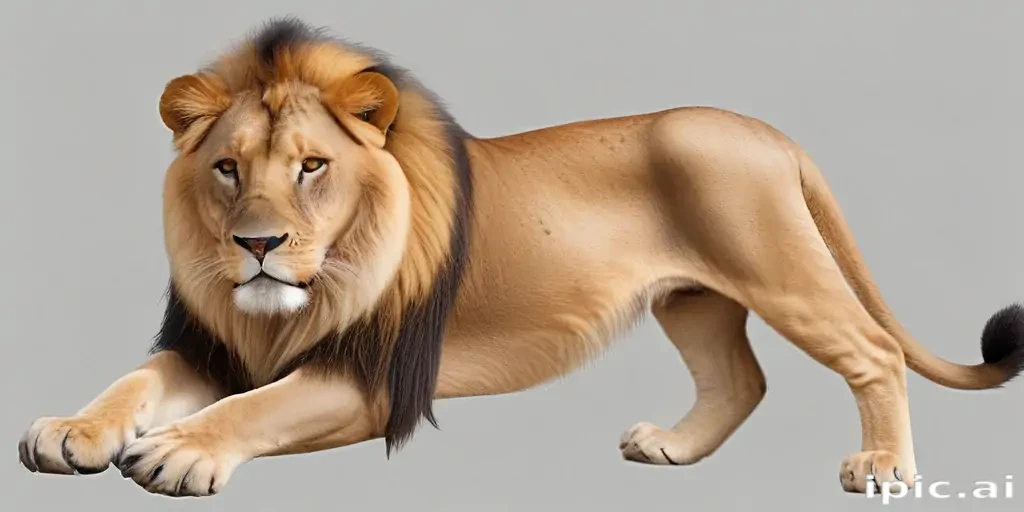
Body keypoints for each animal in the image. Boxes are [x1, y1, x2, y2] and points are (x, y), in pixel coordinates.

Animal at [18, 17, 1024, 498]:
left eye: (312, 167)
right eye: (227, 169)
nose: (257, 246)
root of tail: (767, 130)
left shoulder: (377, 380)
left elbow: (256, 408)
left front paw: (179, 450)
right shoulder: (211, 345)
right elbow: (134, 380)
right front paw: (69, 430)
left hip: (781, 268)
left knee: (874, 351)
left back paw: (882, 469)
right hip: (692, 299)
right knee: (740, 380)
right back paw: (670, 448)